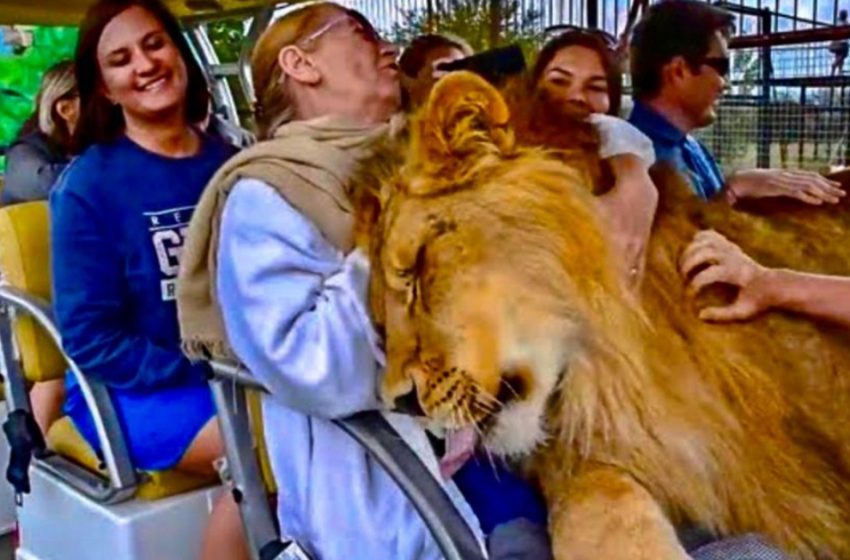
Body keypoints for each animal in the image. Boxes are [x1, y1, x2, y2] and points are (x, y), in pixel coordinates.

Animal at [354, 71, 848, 560]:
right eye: (378, 321)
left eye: (415, 269)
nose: (398, 402)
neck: (618, 362)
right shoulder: (592, 456)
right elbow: (593, 507)